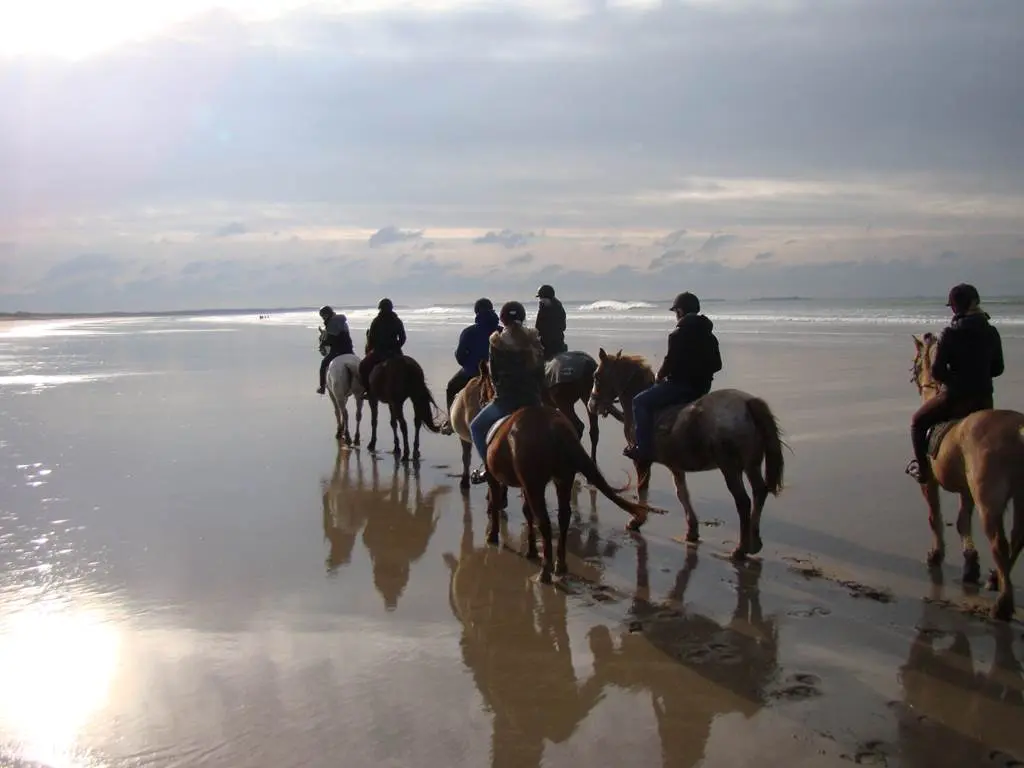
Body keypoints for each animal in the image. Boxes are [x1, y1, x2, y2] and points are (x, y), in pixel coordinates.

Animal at [477, 378, 663, 581]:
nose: (481, 399)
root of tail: (556, 429)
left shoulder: (503, 479)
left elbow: (498, 502)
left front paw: (493, 535)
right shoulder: (525, 484)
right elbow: (527, 512)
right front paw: (531, 550)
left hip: (538, 483)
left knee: (544, 521)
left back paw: (545, 571)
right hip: (562, 478)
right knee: (563, 516)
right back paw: (560, 564)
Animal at [585, 348, 782, 561]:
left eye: (596, 376)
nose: (591, 405)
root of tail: (747, 403)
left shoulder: (641, 460)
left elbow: (642, 488)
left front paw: (637, 520)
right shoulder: (675, 465)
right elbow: (682, 493)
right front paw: (692, 530)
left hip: (729, 468)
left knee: (743, 501)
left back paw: (740, 549)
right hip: (751, 464)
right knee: (759, 491)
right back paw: (755, 542)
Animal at [913, 333, 1024, 622]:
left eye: (916, 361)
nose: (915, 376)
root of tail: (1018, 431)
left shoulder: (929, 483)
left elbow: (935, 517)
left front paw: (936, 554)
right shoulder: (966, 491)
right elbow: (963, 522)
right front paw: (971, 564)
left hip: (989, 499)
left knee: (1000, 543)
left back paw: (1003, 604)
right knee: (1017, 537)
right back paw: (995, 579)